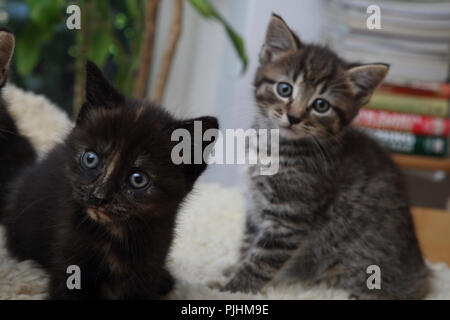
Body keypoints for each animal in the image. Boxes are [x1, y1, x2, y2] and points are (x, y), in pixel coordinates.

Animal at [0, 60, 218, 300]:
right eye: (90, 158)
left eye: (138, 179)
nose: (98, 197)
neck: (115, 236)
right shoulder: (68, 260)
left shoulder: (149, 263)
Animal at [220, 14, 430, 300]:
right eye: (284, 89)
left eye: (321, 105)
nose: (293, 117)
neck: (273, 147)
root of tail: (420, 277)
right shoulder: (255, 208)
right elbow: (247, 245)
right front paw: (230, 272)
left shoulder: (290, 217)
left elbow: (261, 262)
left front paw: (232, 289)